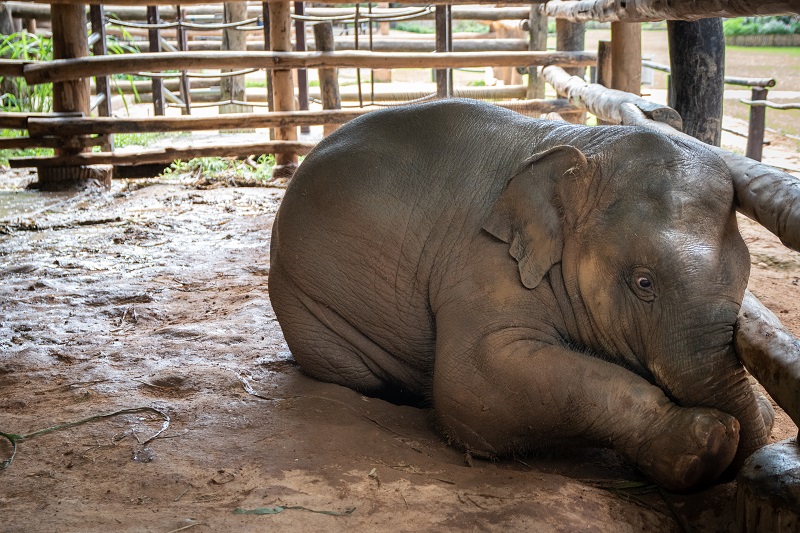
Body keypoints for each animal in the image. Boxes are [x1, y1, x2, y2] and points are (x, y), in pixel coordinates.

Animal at [268, 98, 779, 492]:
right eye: (644, 283)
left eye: (745, 276)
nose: (744, 458)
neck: (582, 147)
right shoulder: (481, 261)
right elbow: (473, 381)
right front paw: (708, 442)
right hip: (308, 311)